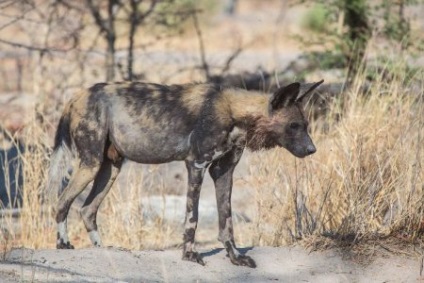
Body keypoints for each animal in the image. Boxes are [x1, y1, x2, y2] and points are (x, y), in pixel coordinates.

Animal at [46, 80, 322, 268]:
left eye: (305, 126)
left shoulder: (223, 172)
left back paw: (102, 250)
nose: (312, 150)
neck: (234, 113)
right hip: (90, 165)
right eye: (293, 126)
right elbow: (192, 218)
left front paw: (235, 257)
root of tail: (77, 95)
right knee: (61, 202)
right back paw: (63, 245)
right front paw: (189, 255)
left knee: (87, 209)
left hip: (110, 168)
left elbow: (227, 222)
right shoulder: (196, 166)